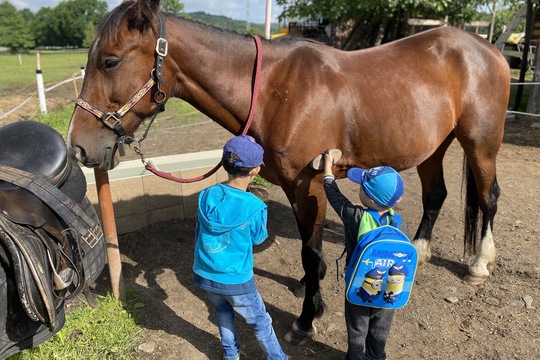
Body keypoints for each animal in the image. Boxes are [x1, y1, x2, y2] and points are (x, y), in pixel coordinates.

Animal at [67, 0, 510, 344]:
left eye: (110, 61)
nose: (78, 146)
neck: (275, 90)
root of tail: (487, 49)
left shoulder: (308, 184)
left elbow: (310, 249)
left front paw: (306, 318)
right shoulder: (293, 186)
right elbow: (307, 246)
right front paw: (310, 287)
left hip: (480, 144)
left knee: (489, 198)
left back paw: (479, 264)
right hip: (434, 148)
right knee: (436, 195)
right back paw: (419, 248)